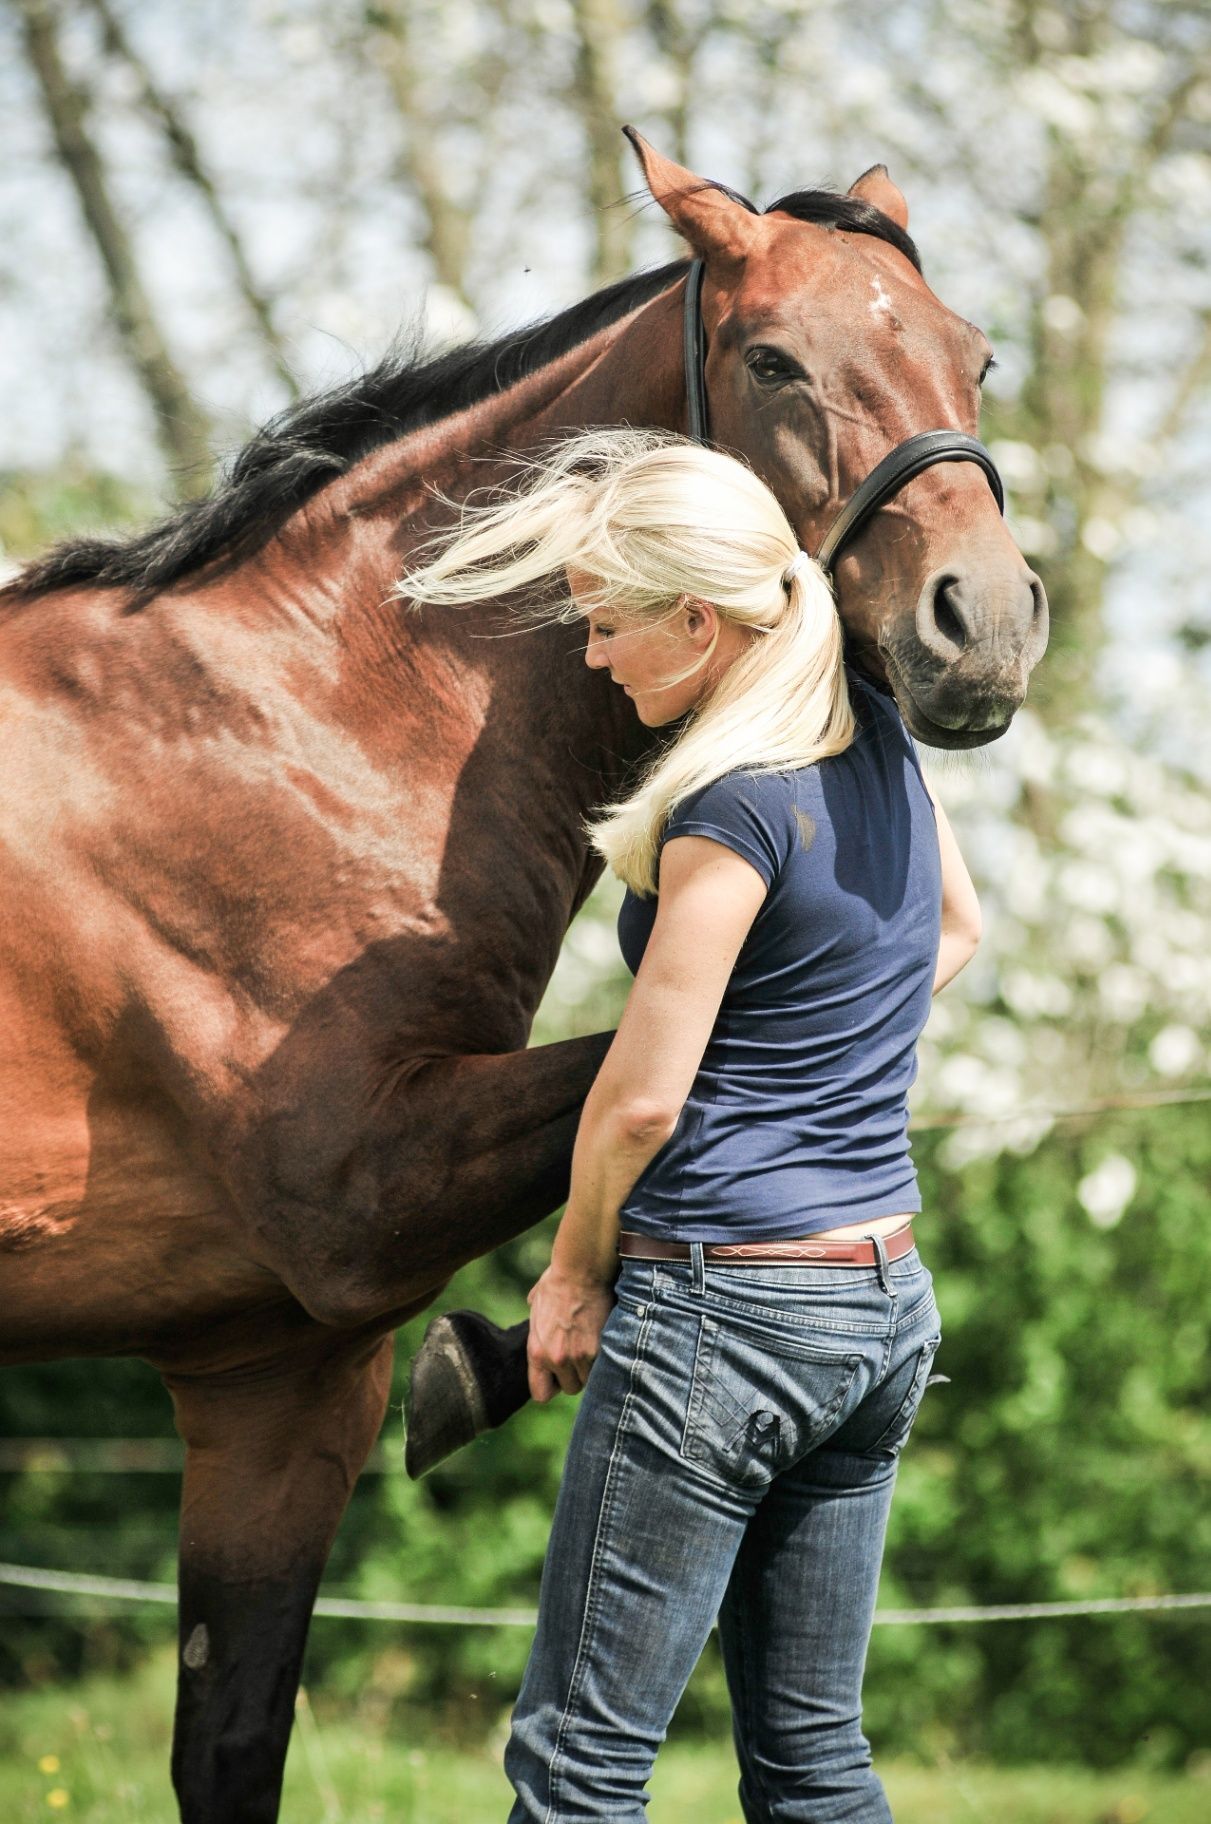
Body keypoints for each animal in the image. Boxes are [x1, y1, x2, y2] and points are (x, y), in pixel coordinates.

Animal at [0, 131, 1046, 1822]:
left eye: (974, 357)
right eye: (771, 360)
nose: (984, 625)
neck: (294, 725)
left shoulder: (274, 1374)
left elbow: (231, 1744)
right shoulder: (354, 1193)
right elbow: (620, 1096)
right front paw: (495, 1358)